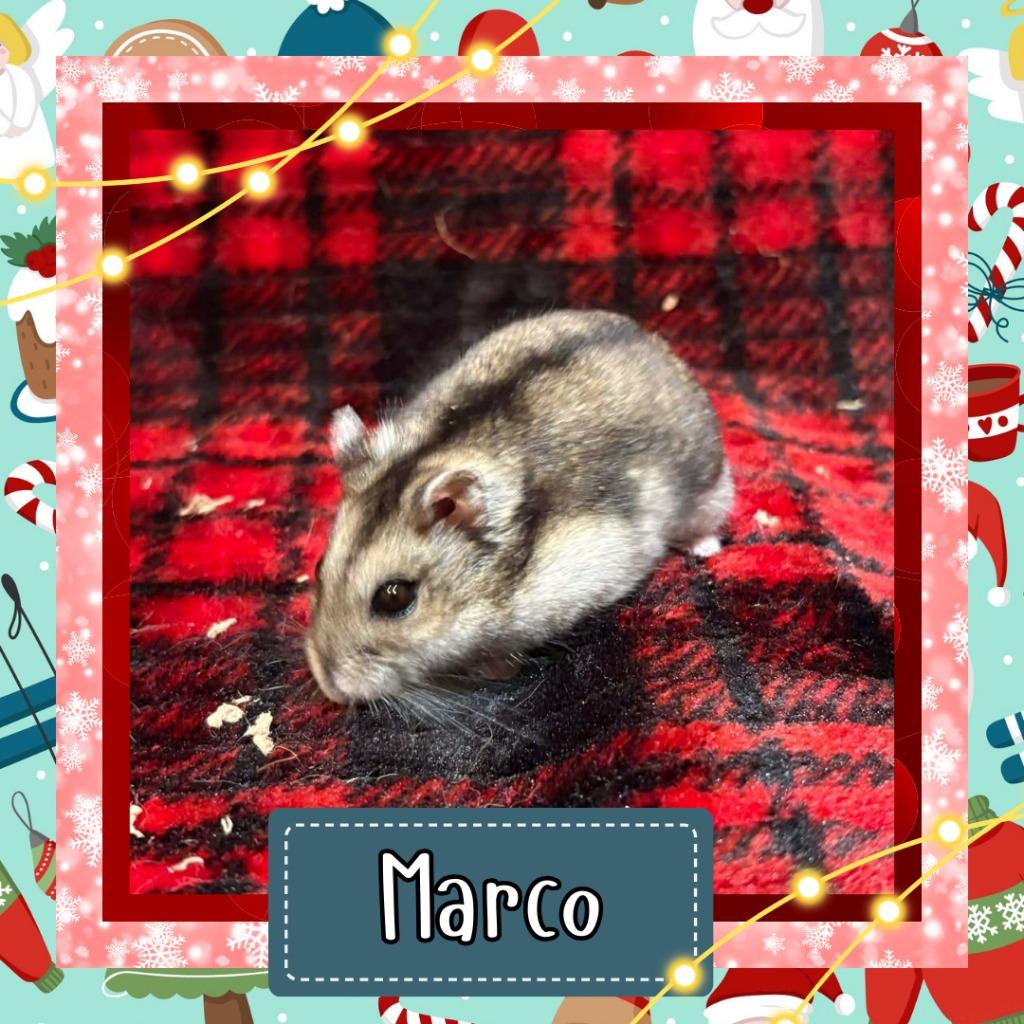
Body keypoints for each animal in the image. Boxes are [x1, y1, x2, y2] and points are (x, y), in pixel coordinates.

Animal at [306, 310, 732, 705]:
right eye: (318, 566)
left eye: (395, 598)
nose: (331, 690)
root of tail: (650, 338)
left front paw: (494, 670)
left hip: (711, 490)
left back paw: (705, 549)